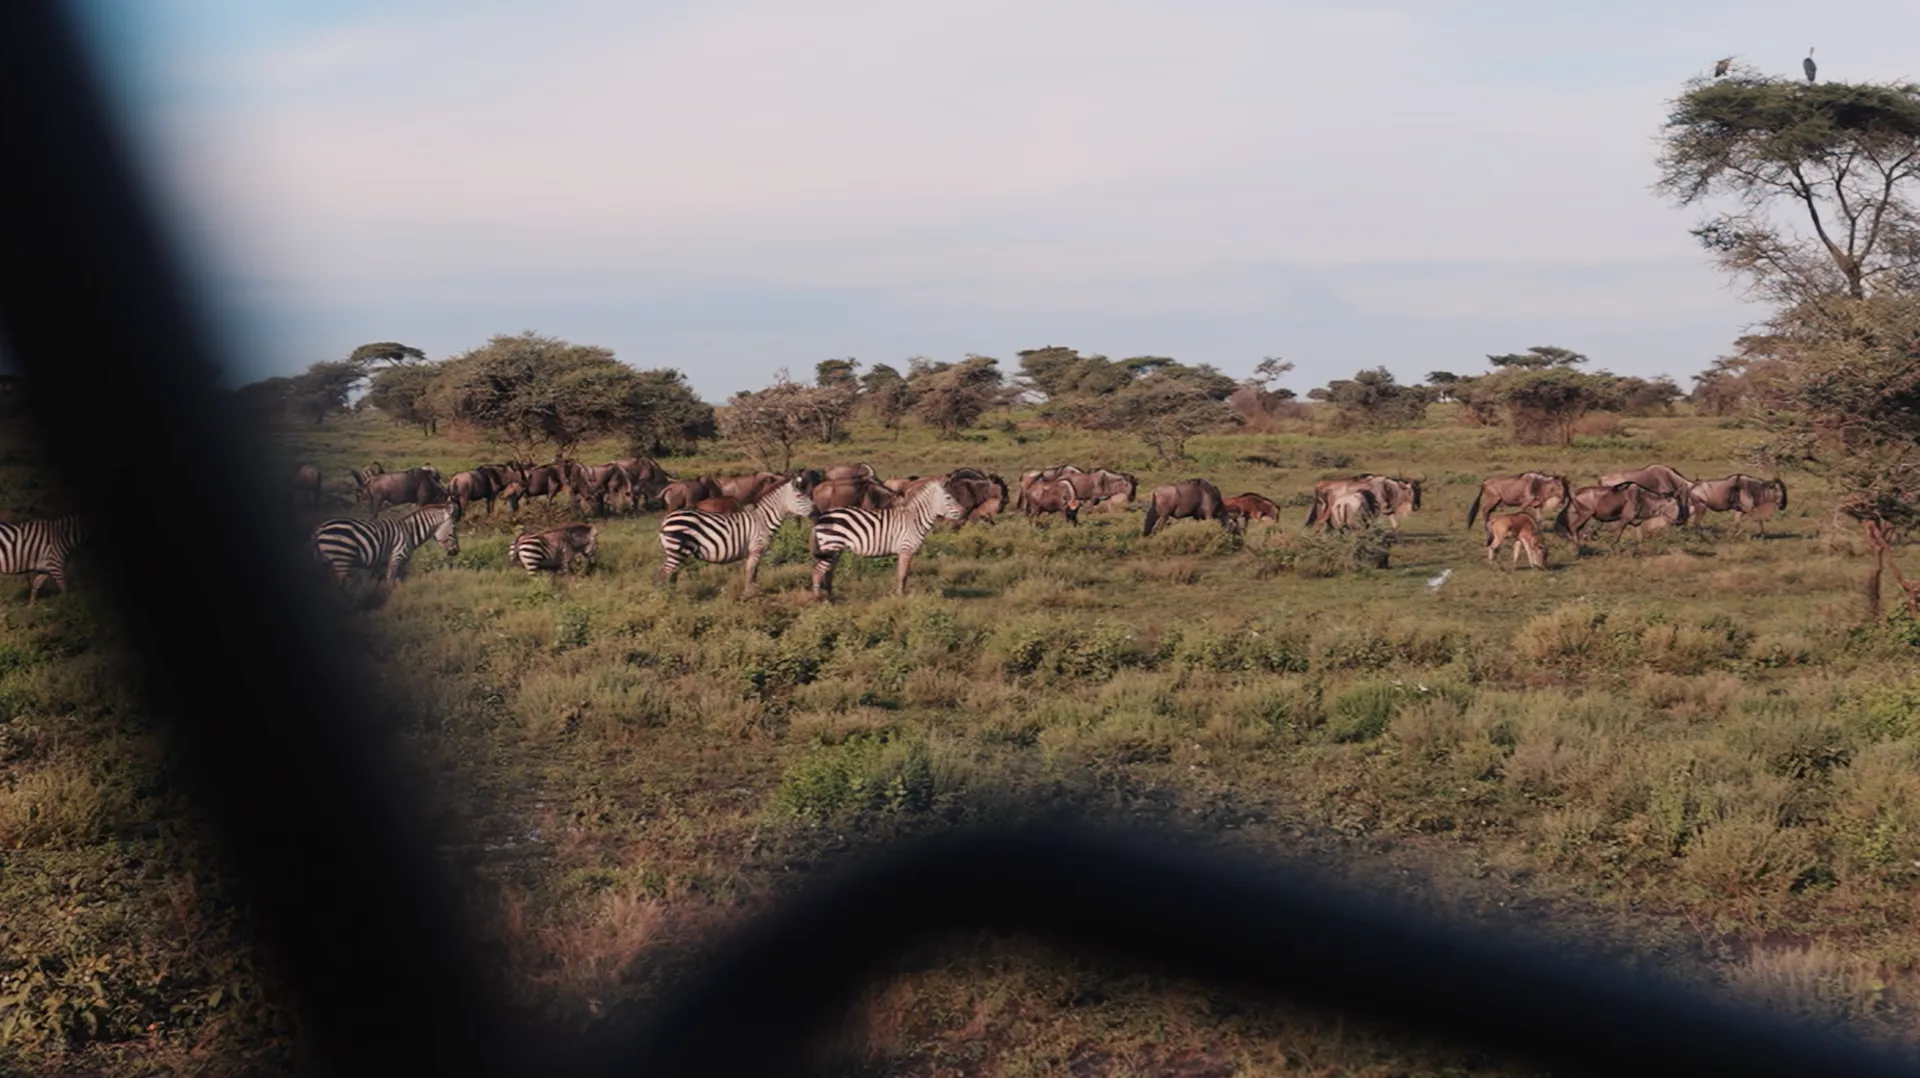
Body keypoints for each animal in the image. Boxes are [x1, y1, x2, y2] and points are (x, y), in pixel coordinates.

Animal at [311, 503, 460, 586]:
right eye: (453, 529)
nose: (457, 551)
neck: (410, 532)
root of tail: (319, 528)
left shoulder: (402, 562)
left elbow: (398, 583)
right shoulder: (396, 557)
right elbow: (389, 581)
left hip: (330, 562)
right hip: (342, 559)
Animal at [654, 476, 814, 595]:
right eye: (800, 496)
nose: (816, 511)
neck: (763, 521)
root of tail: (667, 520)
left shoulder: (751, 552)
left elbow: (753, 573)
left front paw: (752, 591)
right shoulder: (756, 549)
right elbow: (751, 573)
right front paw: (750, 595)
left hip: (677, 552)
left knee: (671, 573)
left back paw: (673, 594)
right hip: (676, 550)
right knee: (663, 573)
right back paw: (667, 598)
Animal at [809, 479, 964, 599]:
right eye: (949, 498)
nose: (964, 512)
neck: (913, 520)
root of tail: (822, 516)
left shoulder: (904, 551)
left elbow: (901, 575)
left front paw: (898, 594)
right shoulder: (906, 549)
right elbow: (903, 575)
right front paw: (901, 597)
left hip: (835, 549)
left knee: (828, 571)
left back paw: (830, 595)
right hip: (830, 546)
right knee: (817, 571)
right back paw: (818, 598)